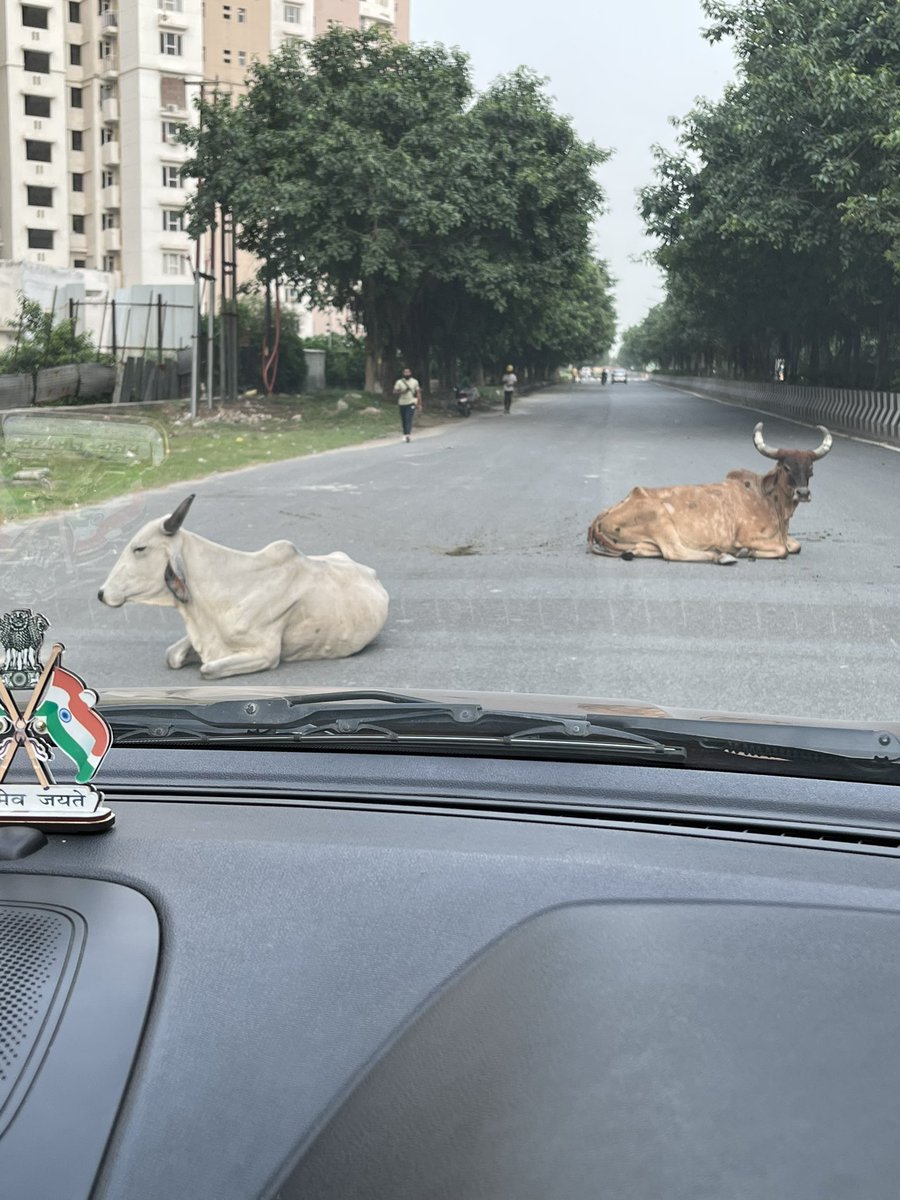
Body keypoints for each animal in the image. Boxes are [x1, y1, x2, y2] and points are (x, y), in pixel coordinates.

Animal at [587, 422, 833, 565]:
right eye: (786, 467)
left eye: (810, 469)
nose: (803, 493)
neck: (769, 500)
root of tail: (603, 515)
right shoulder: (746, 535)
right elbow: (783, 549)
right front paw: (747, 552)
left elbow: (795, 546)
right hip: (660, 519)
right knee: (674, 552)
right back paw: (721, 556)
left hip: (641, 541)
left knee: (644, 550)